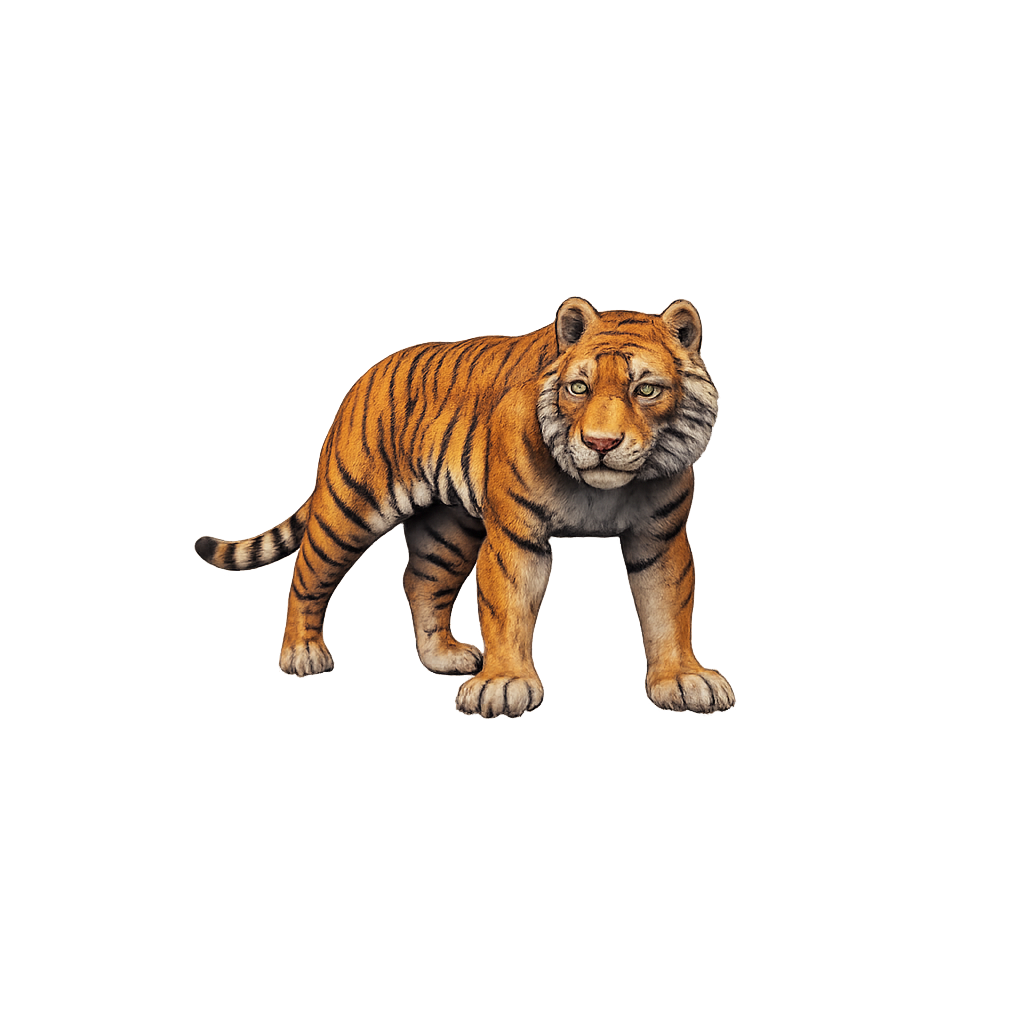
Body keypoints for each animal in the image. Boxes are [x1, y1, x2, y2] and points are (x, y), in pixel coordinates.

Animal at [195, 297, 734, 718]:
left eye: (646, 389)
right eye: (578, 387)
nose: (600, 444)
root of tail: (365, 376)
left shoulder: (660, 538)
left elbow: (668, 609)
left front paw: (683, 679)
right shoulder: (515, 535)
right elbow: (508, 608)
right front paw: (505, 684)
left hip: (447, 530)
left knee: (420, 580)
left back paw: (443, 656)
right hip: (349, 507)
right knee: (308, 573)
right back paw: (302, 653)